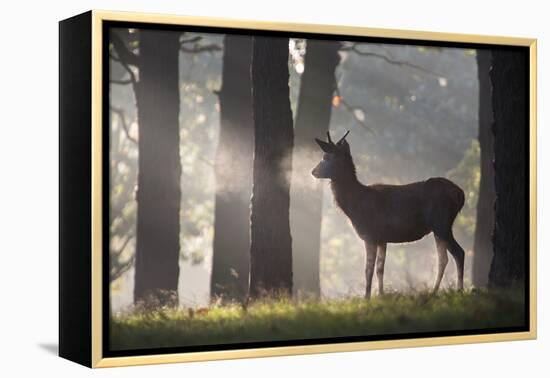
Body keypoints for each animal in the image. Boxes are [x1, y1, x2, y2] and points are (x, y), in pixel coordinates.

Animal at [314, 131, 466, 300]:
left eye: (326, 157)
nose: (313, 171)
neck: (355, 206)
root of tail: (460, 195)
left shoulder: (370, 234)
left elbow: (368, 269)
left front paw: (366, 298)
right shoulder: (382, 238)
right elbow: (380, 268)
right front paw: (380, 295)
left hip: (442, 223)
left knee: (459, 253)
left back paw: (459, 290)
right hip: (438, 228)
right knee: (443, 258)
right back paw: (434, 292)